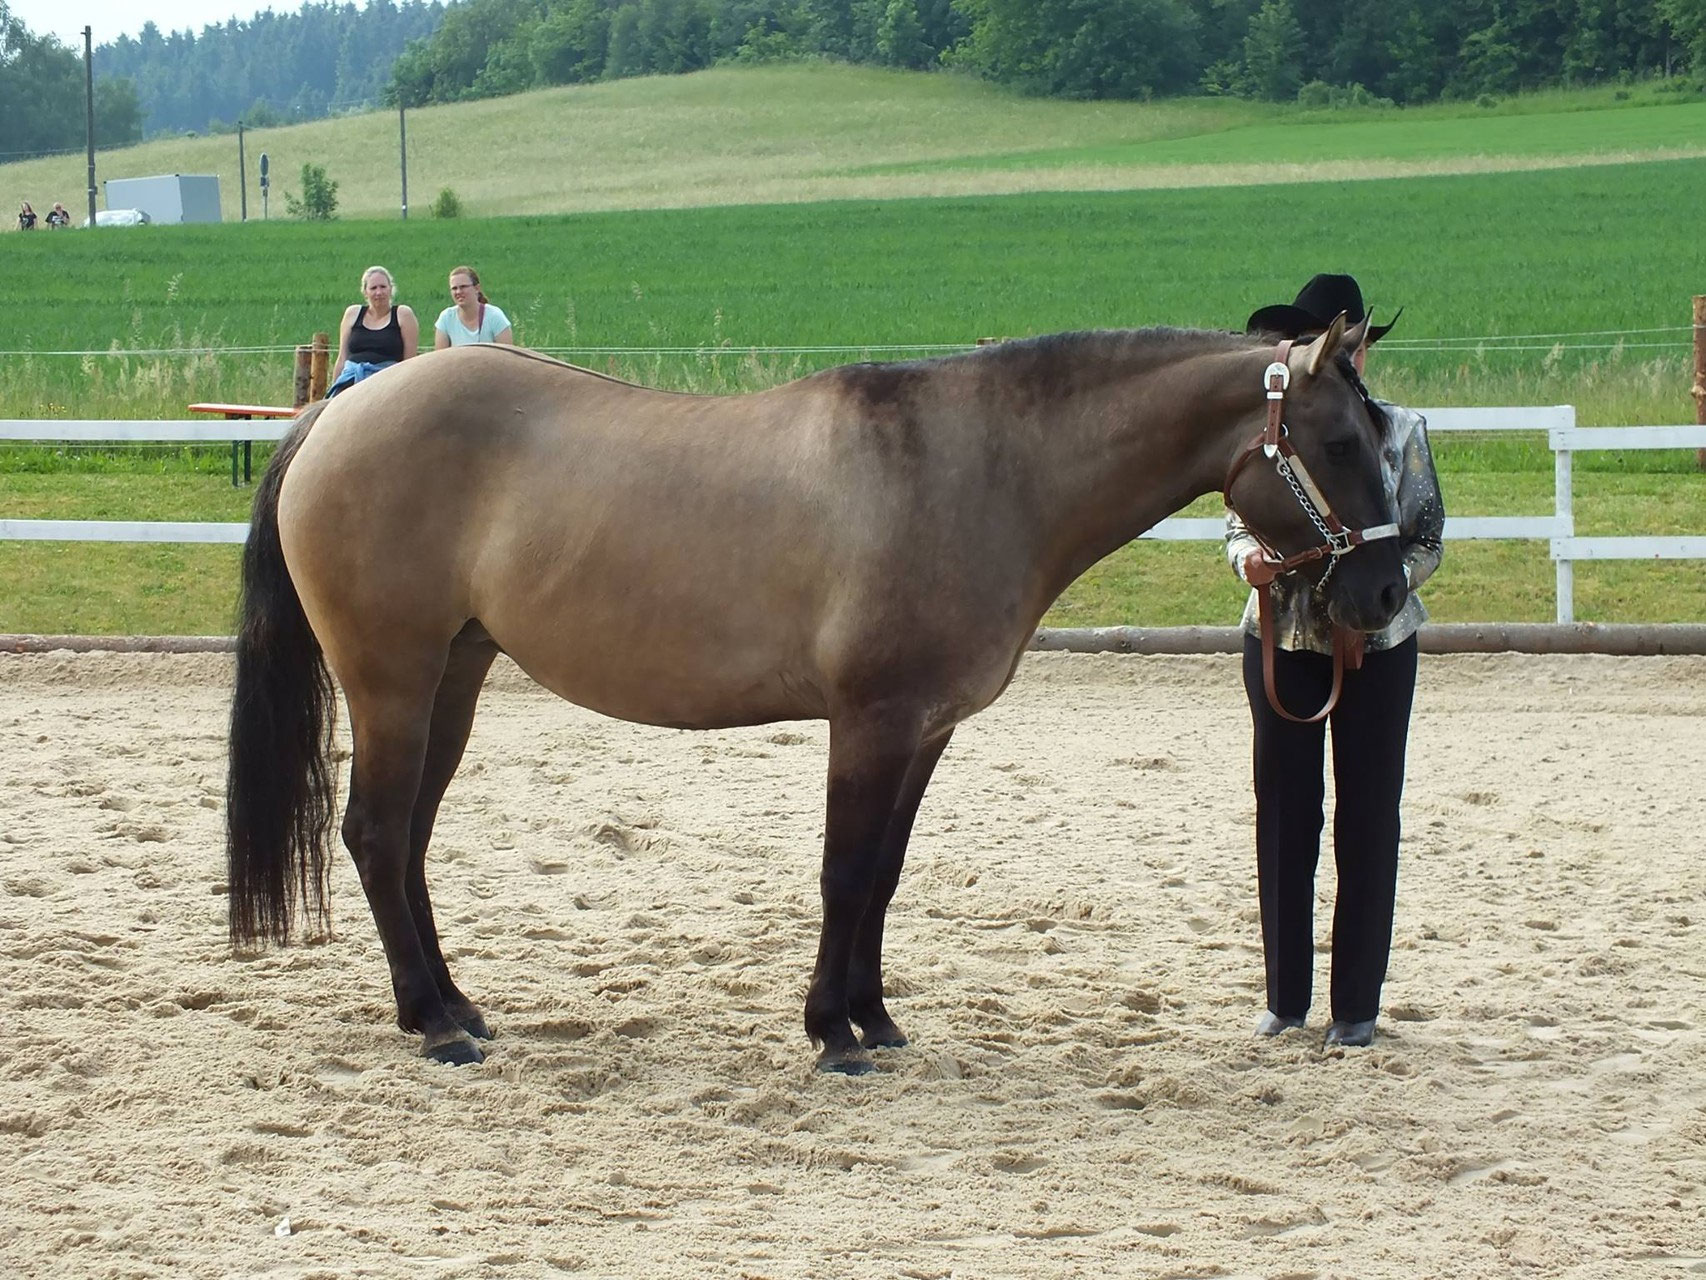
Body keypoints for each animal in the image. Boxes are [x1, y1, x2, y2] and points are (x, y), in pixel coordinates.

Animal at [226, 314, 1406, 1074]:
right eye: (1338, 439)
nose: (1387, 589)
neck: (974, 468)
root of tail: (334, 415)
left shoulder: (923, 732)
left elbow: (880, 877)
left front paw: (873, 1020)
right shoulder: (868, 723)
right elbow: (843, 873)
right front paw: (830, 1035)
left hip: (454, 678)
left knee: (410, 842)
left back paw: (458, 1006)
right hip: (393, 679)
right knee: (377, 833)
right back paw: (433, 1026)